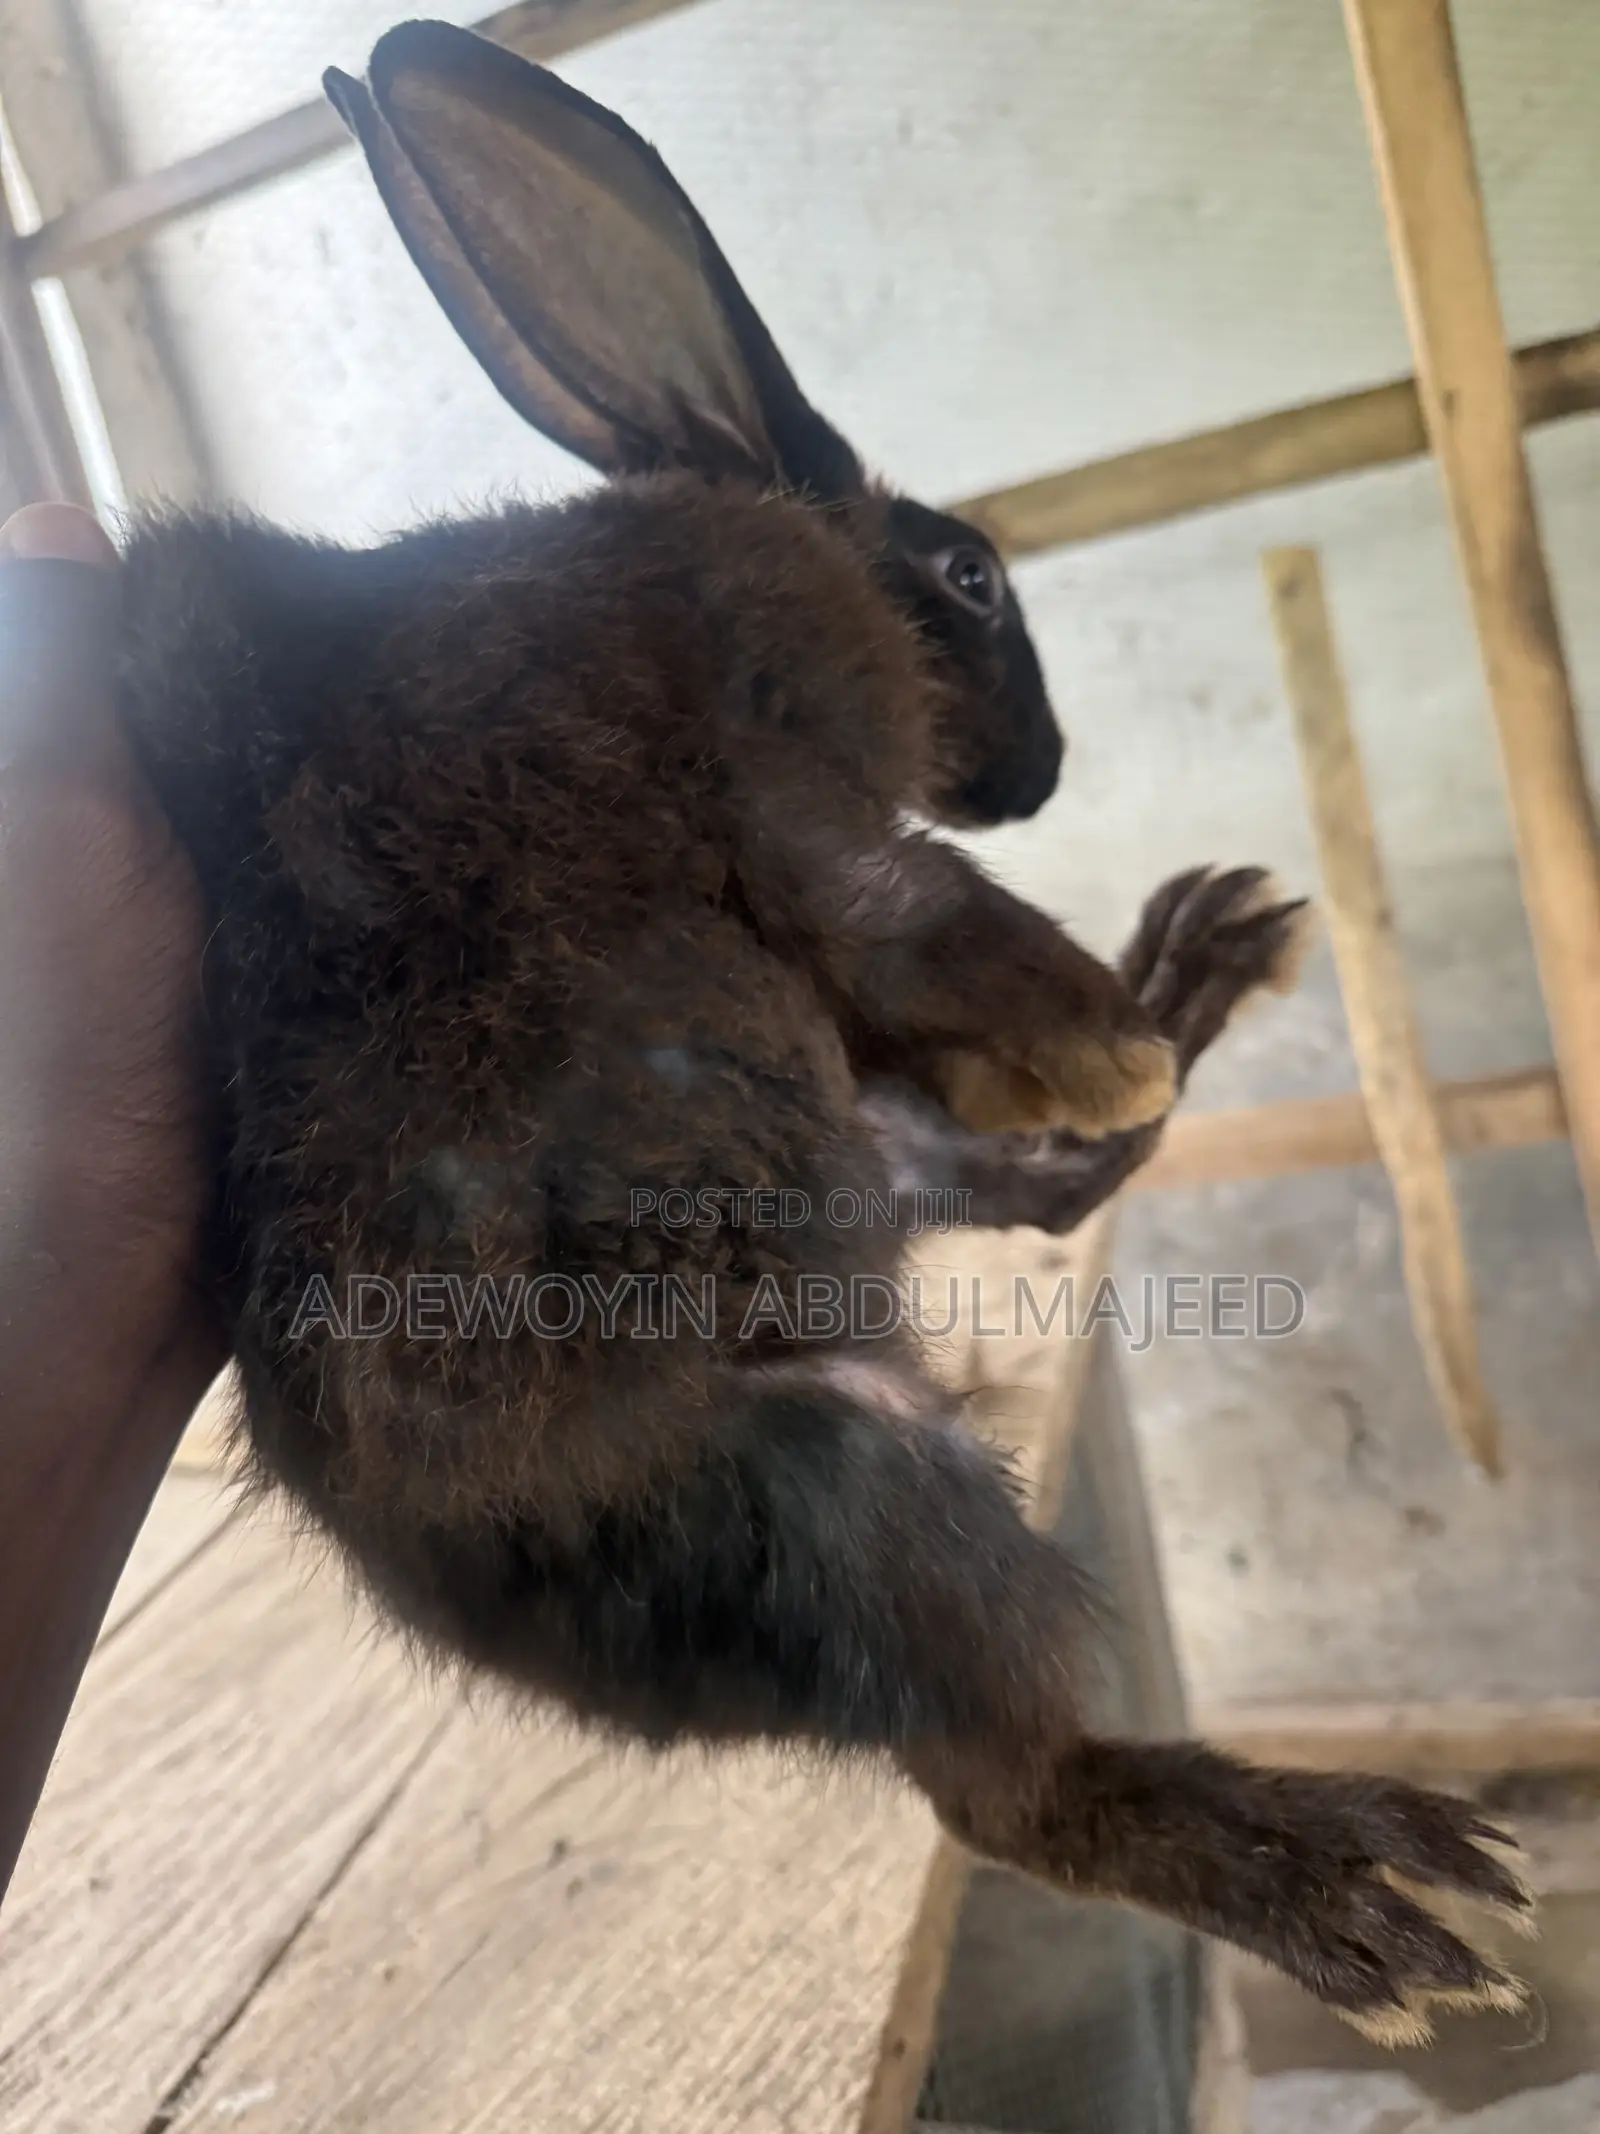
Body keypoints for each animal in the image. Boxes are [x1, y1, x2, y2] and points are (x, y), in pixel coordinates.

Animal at [113, 18, 1531, 2050]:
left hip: (861, 1194)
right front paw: (1107, 1032)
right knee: (1021, 1793)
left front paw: (1140, 1018)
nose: (1043, 770)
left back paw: (1211, 955)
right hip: (861, 1470)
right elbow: (958, 928)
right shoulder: (805, 809)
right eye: (969, 575)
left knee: (1034, 1199)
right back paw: (1368, 1883)